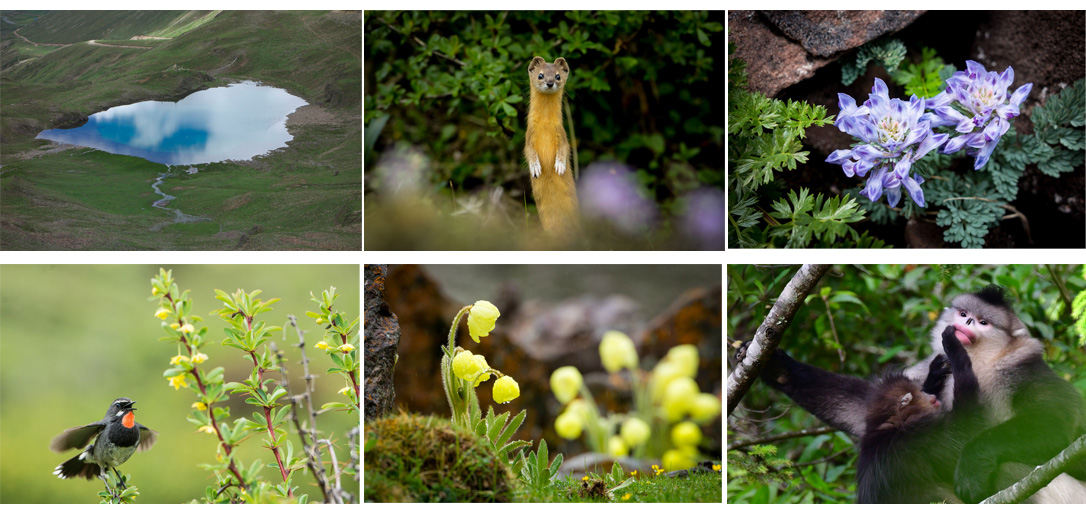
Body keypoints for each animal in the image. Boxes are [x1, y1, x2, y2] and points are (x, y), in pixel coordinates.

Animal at [523, 55, 577, 236]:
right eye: (540, 75)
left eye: (557, 76)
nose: (549, 82)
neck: (545, 125)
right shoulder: (529, 136)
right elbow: (528, 152)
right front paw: (535, 167)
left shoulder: (562, 133)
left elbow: (565, 149)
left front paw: (560, 165)